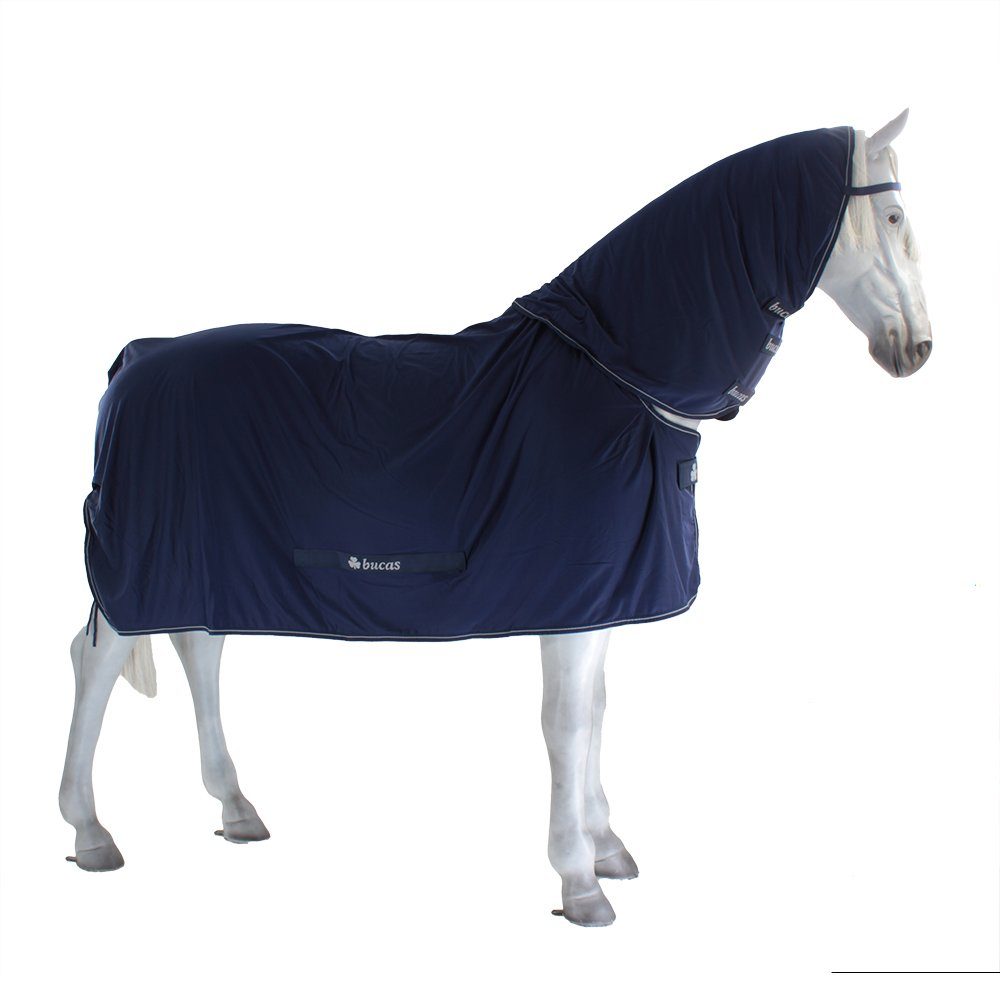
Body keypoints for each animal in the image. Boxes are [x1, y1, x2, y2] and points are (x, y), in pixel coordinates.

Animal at [60, 111, 931, 927]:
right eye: (892, 217)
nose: (917, 348)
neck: (612, 377)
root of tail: (137, 359)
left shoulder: (601, 600)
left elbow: (596, 714)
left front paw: (605, 846)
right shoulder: (573, 602)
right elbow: (567, 724)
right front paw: (579, 882)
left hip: (199, 560)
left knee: (199, 649)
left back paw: (235, 808)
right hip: (142, 563)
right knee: (96, 661)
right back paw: (90, 832)